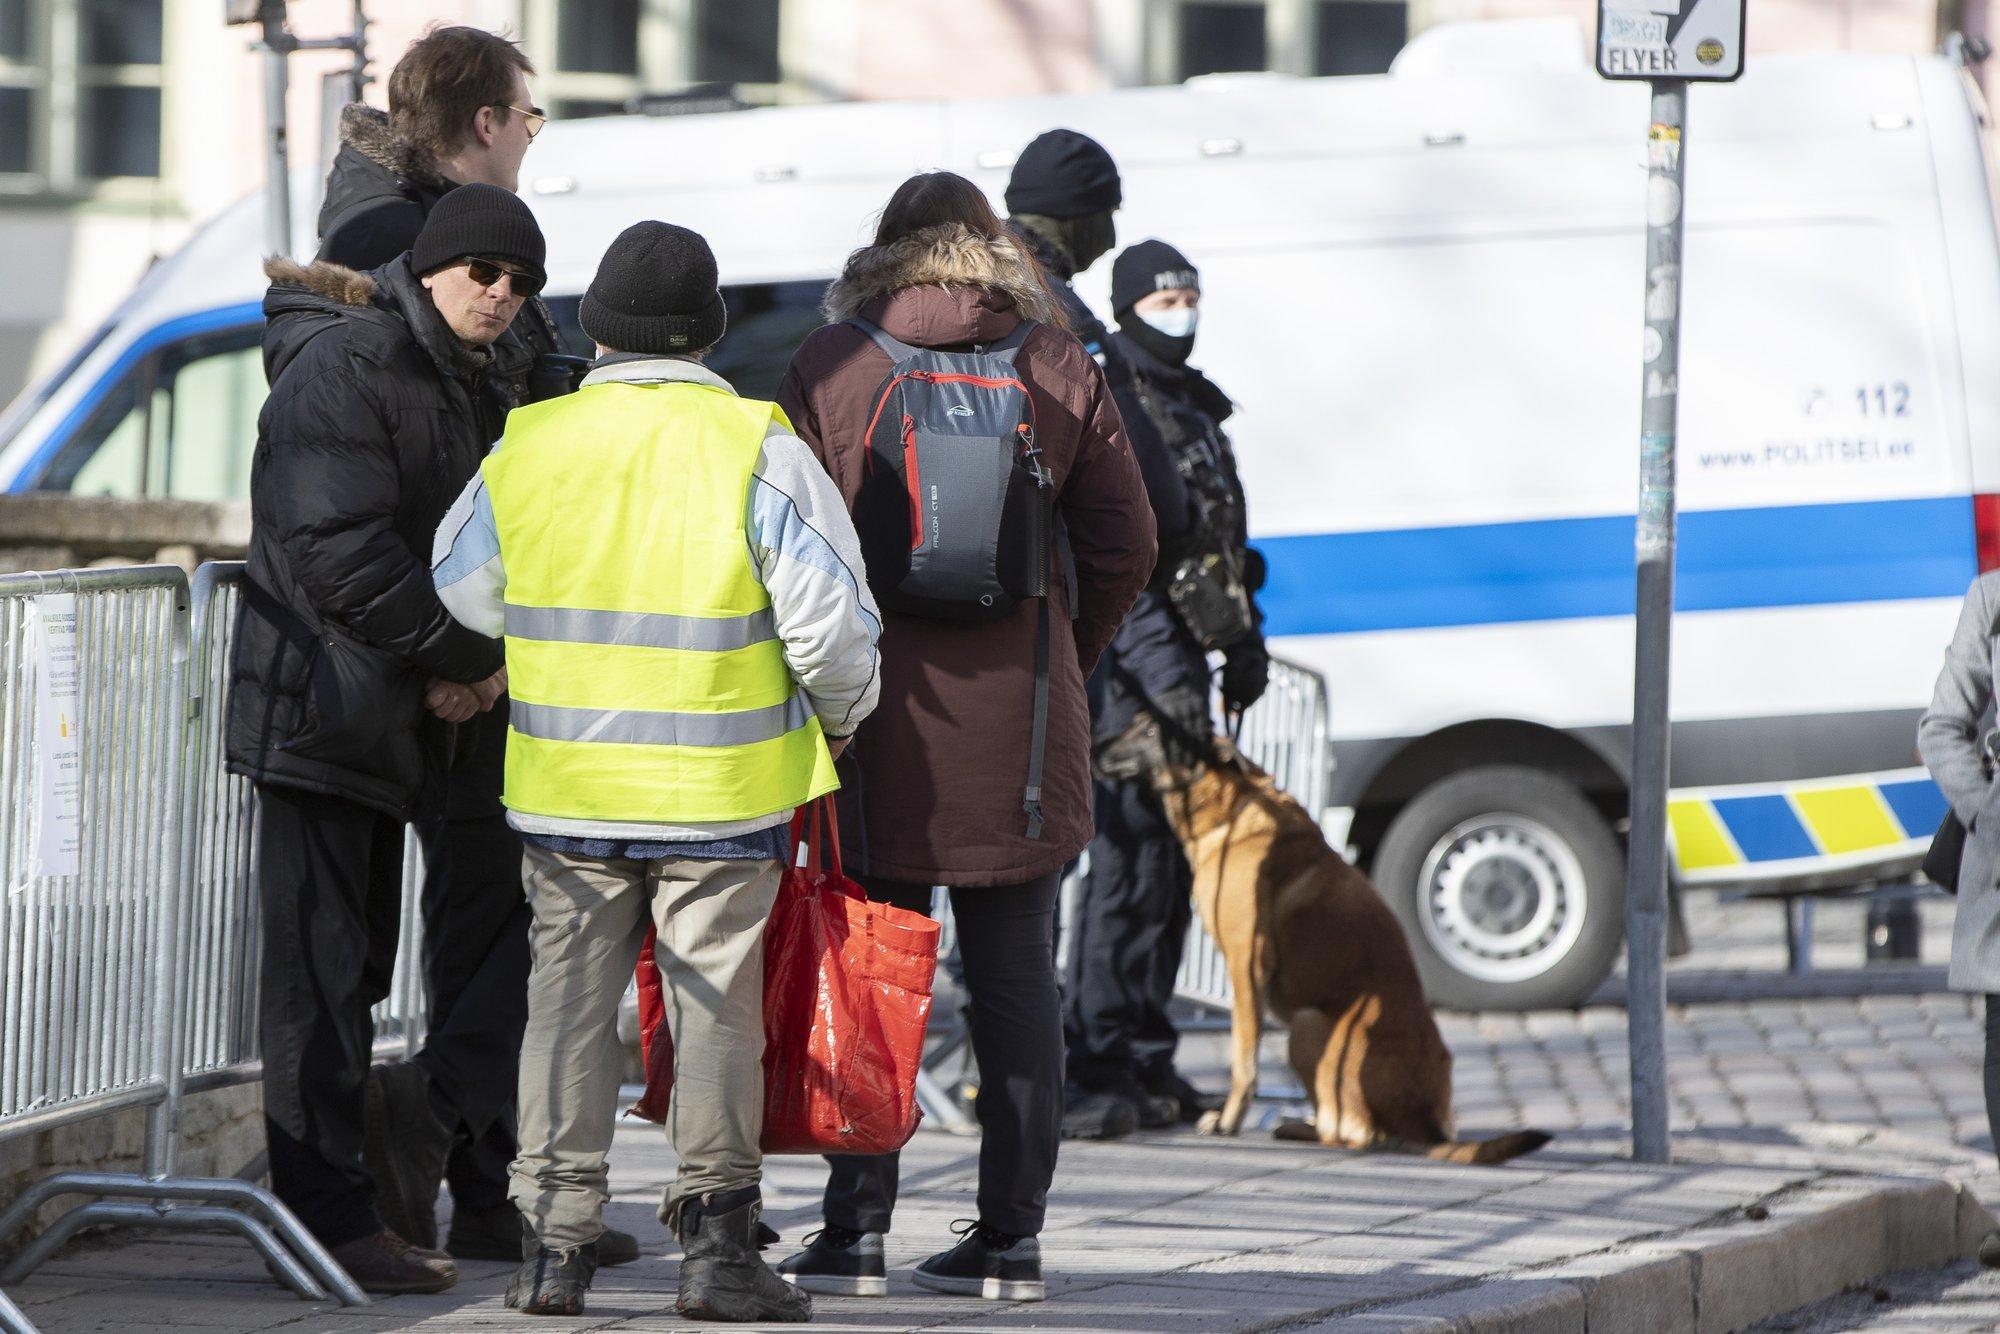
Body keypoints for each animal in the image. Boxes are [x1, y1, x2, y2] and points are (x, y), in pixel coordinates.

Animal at [1096, 716, 1544, 1160]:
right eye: (1136, 722)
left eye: (1151, 731)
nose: (1096, 749)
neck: (1233, 807)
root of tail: (1424, 1125)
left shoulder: (1246, 966)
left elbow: (1244, 1057)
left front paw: (1229, 1120)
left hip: (1306, 1027)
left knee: (1352, 1133)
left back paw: (1300, 1127)